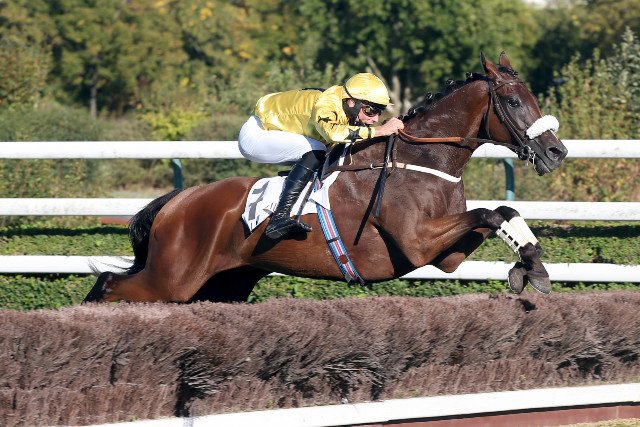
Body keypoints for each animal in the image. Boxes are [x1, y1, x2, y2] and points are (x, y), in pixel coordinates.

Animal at [84, 52, 568, 304]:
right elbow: (491, 212)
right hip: (171, 279)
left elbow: (501, 211)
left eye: (532, 97)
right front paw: (532, 267)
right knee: (109, 282)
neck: (420, 159)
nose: (556, 152)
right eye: (513, 101)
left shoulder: (443, 255)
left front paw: (531, 265)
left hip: (223, 283)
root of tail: (175, 202)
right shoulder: (417, 241)